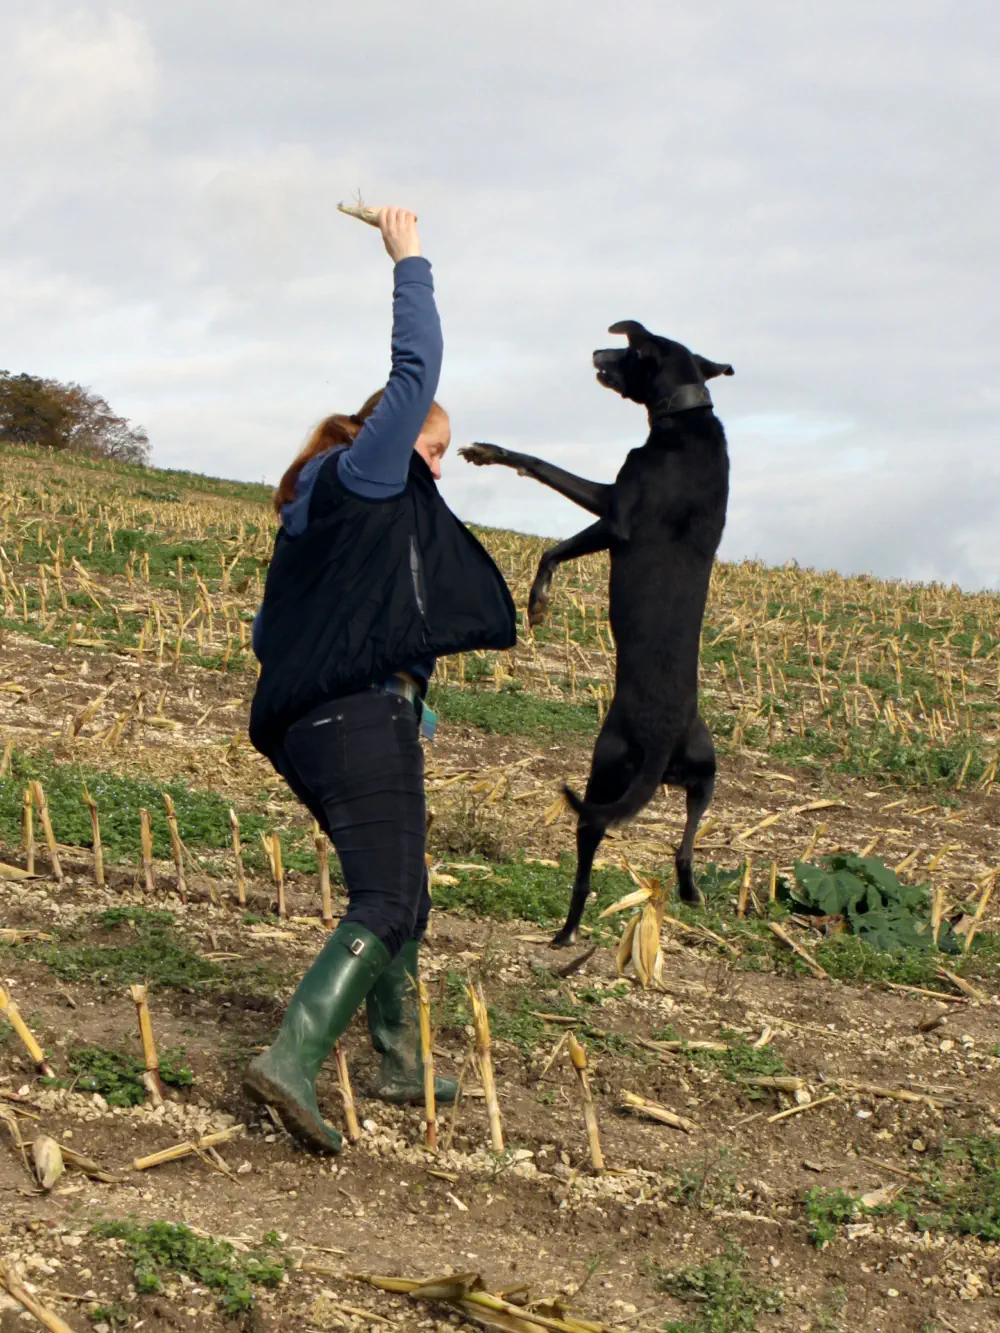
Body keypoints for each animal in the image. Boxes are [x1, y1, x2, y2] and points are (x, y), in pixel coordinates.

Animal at [460, 320, 732, 947]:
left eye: (630, 348)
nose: (595, 351)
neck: (685, 418)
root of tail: (662, 745)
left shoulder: (615, 515)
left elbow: (551, 530)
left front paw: (537, 603)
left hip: (603, 773)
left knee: (585, 866)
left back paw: (565, 932)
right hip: (706, 772)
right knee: (686, 843)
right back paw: (689, 891)